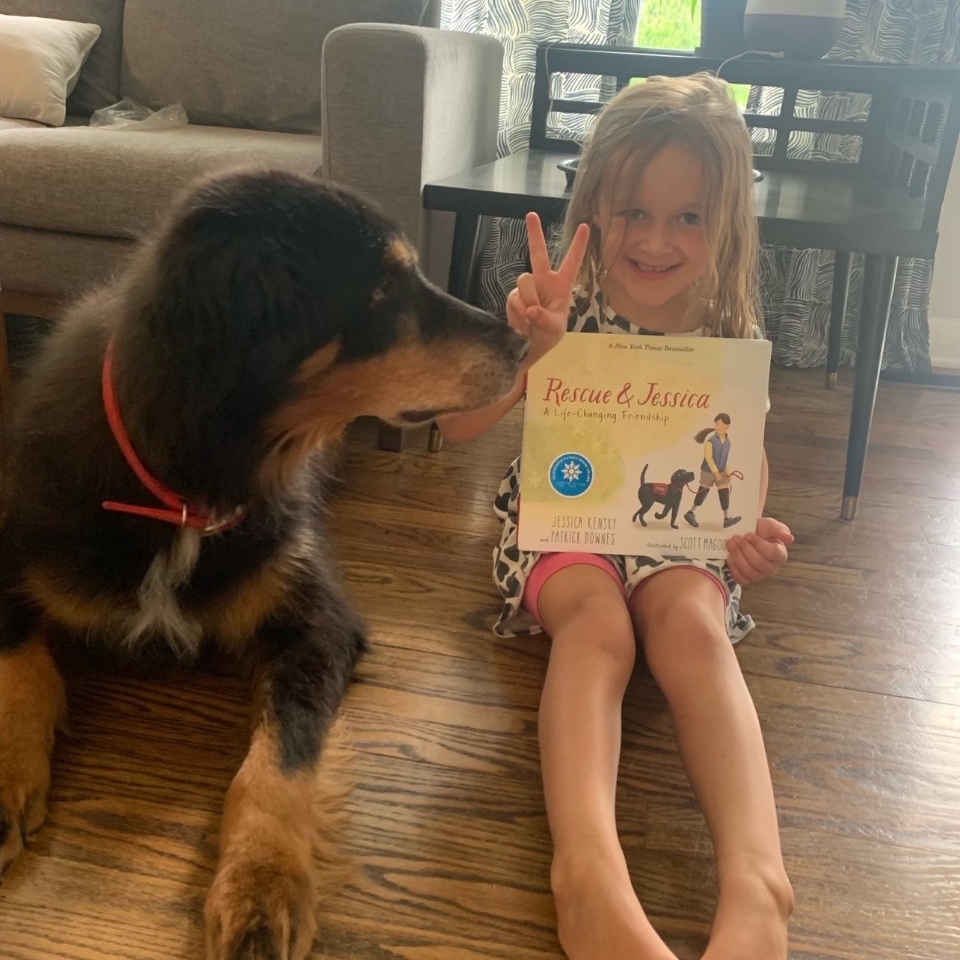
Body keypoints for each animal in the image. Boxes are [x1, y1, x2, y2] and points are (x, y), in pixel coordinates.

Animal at [0, 169, 524, 956]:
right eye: (382, 289)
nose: (523, 338)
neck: (188, 484)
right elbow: (21, 670)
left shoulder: (316, 619)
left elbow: (277, 759)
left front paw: (261, 884)